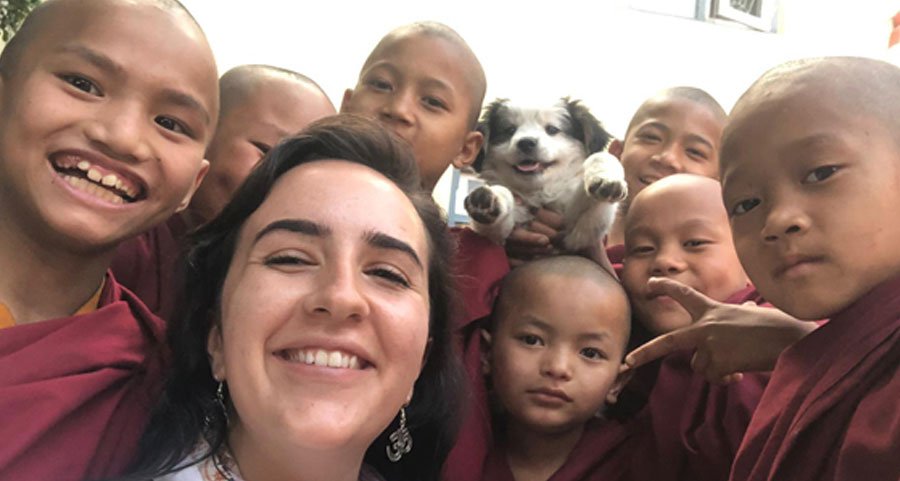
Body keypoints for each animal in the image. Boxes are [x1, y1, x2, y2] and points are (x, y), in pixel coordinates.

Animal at [464, 97, 624, 251]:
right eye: (510, 130)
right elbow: (496, 222)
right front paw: (491, 197)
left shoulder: (576, 236)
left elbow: (600, 156)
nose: (526, 142)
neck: (540, 191)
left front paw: (606, 180)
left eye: (552, 129)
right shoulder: (506, 234)